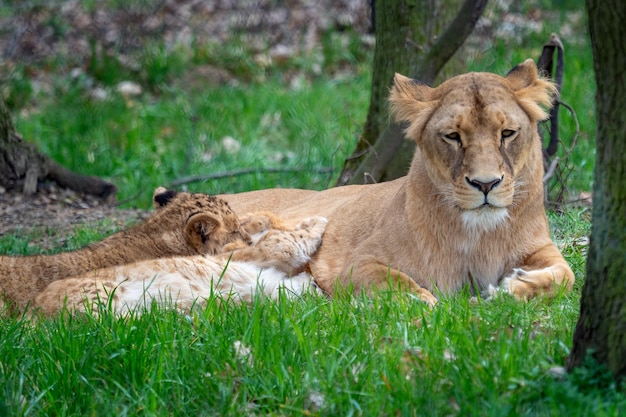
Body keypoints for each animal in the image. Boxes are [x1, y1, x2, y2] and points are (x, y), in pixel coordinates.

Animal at [218, 59, 572, 306]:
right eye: (453, 136)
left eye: (507, 133)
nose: (485, 184)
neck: (480, 235)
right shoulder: (356, 265)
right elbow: (393, 282)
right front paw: (424, 301)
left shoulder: (542, 248)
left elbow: (565, 276)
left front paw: (512, 288)